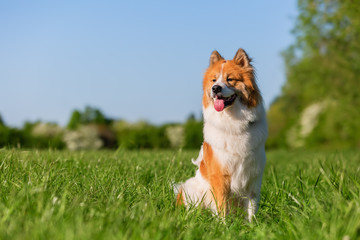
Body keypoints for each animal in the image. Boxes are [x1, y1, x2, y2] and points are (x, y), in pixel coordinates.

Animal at [174, 48, 268, 221]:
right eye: (213, 80)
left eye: (230, 79)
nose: (216, 88)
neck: (234, 123)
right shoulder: (220, 176)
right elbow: (222, 205)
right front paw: (223, 225)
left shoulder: (253, 176)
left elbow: (251, 207)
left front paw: (253, 225)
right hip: (191, 189)